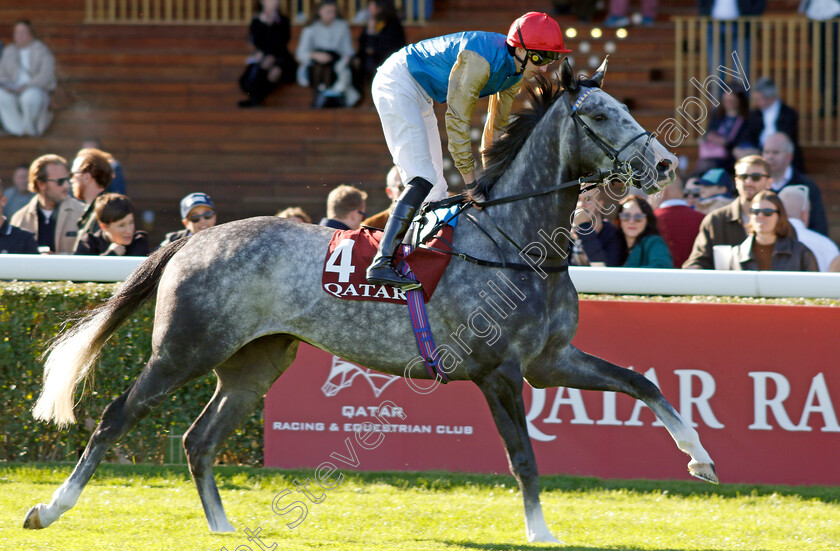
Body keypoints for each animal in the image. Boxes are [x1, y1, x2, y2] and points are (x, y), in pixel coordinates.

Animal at [24, 57, 716, 544]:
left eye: (622, 107)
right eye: (598, 116)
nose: (663, 164)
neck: (517, 243)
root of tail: (193, 237)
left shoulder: (550, 362)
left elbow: (644, 383)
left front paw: (702, 461)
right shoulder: (500, 371)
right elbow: (523, 457)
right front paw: (542, 532)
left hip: (257, 361)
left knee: (199, 438)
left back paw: (222, 528)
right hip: (184, 349)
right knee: (117, 415)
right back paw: (50, 509)